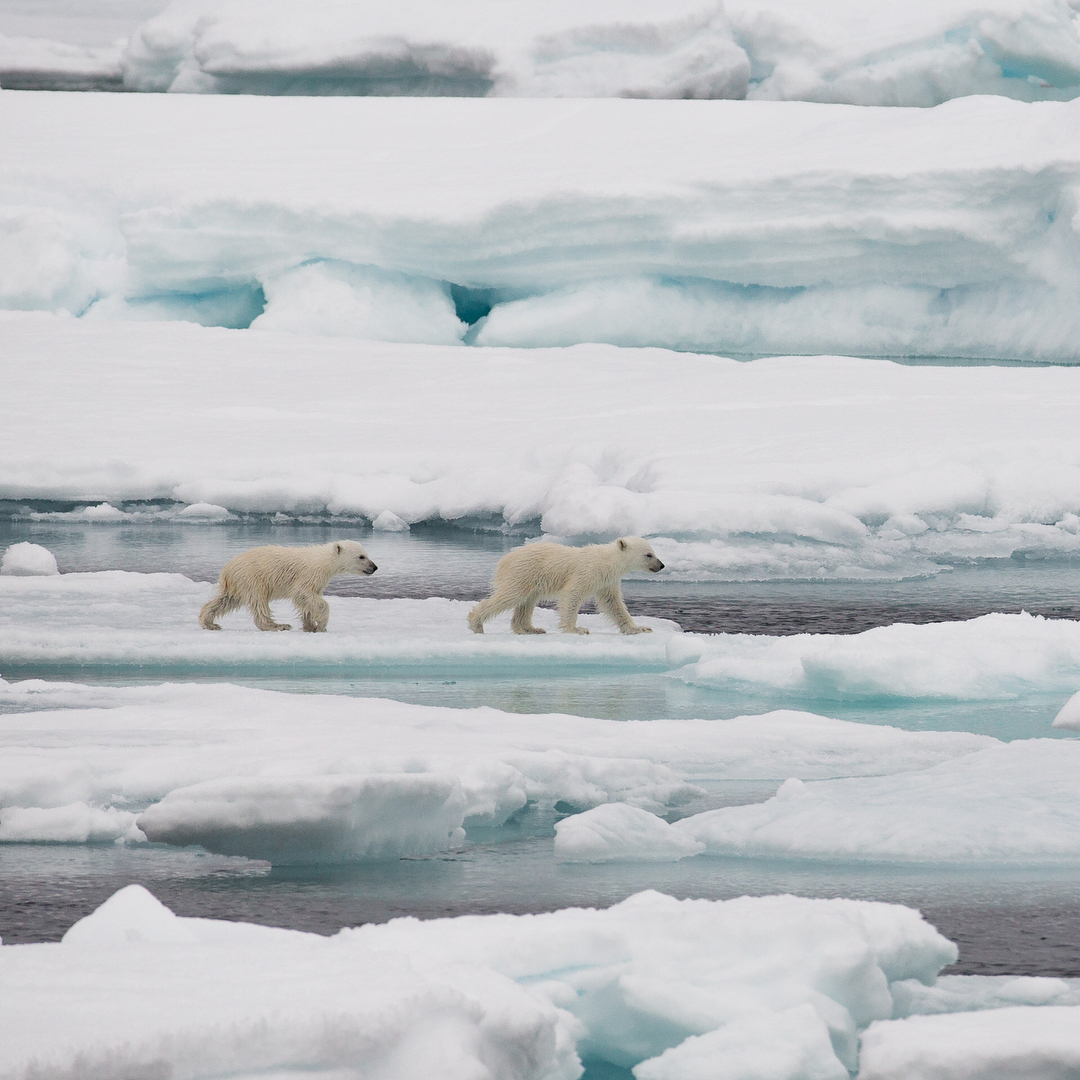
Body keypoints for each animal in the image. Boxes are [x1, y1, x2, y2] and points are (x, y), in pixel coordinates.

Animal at [200, 540, 378, 630]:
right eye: (361, 556)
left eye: (366, 554)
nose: (374, 567)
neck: (324, 561)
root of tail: (227, 569)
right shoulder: (309, 574)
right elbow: (303, 594)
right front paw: (321, 625)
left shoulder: (318, 581)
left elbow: (306, 601)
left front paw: (309, 625)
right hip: (252, 578)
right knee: (259, 602)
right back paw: (277, 625)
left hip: (237, 583)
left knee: (226, 600)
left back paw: (209, 622)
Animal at [468, 537, 660, 635]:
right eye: (648, 554)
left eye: (654, 552)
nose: (662, 565)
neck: (607, 561)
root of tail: (504, 559)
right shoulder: (587, 572)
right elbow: (572, 593)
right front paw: (576, 629)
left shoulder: (607, 581)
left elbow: (613, 604)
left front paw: (639, 628)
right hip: (523, 572)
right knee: (510, 595)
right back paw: (476, 623)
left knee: (527, 602)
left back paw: (531, 628)